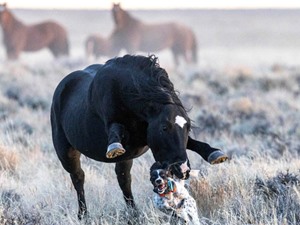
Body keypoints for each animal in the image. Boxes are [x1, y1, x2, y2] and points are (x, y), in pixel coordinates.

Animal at [50, 53, 227, 219]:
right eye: (164, 127)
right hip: (66, 152)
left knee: (124, 179)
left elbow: (194, 143)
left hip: (125, 160)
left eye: (188, 127)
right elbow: (115, 130)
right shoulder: (114, 123)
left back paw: (133, 212)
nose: (182, 169)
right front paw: (114, 147)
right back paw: (83, 215)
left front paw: (215, 154)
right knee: (78, 178)